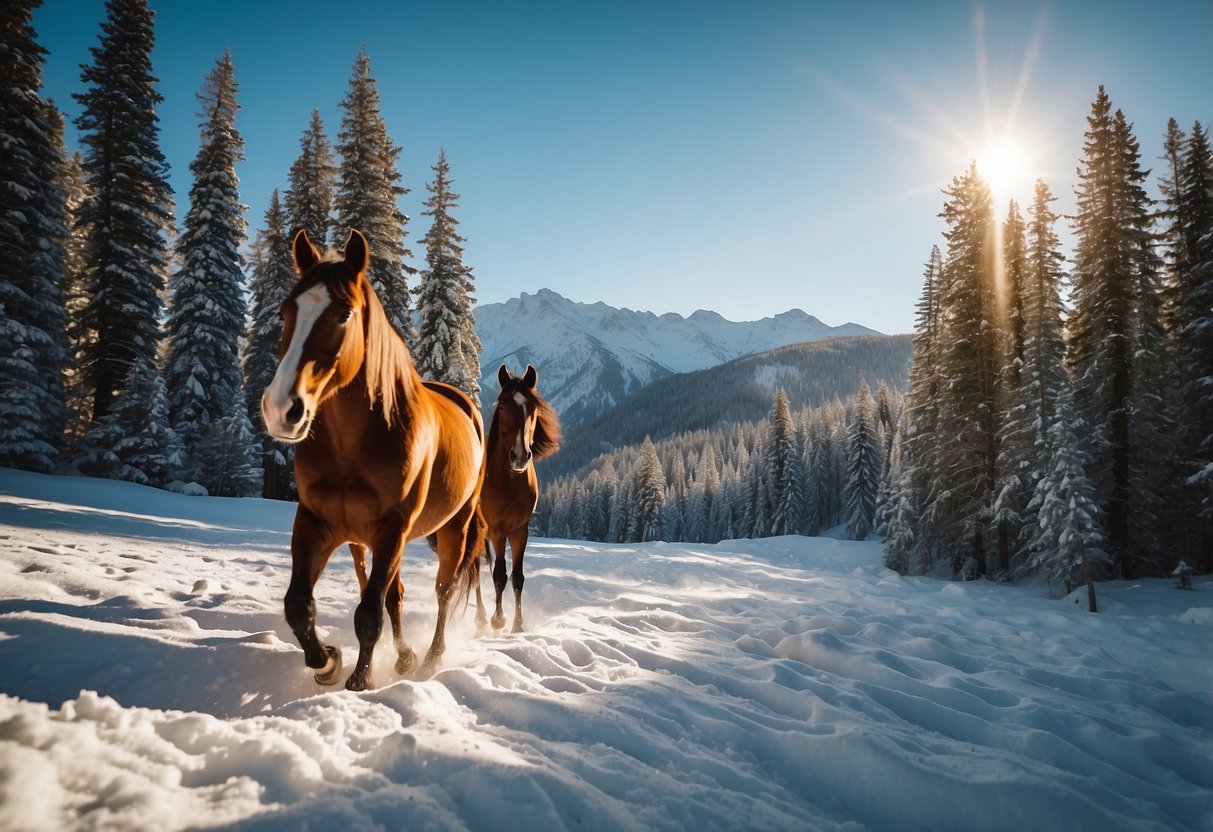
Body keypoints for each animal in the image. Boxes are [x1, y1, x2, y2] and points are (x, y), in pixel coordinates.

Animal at [263, 226, 485, 688]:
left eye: (344, 315)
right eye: (284, 311)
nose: (280, 408)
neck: (354, 447)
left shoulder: (391, 529)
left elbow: (368, 615)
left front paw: (360, 680)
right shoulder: (317, 521)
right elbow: (299, 605)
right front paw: (327, 661)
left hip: (454, 527)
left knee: (443, 590)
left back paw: (432, 657)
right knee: (394, 597)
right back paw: (403, 657)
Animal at [480, 363, 560, 630]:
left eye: (532, 408)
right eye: (502, 406)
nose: (520, 456)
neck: (509, 482)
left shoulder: (519, 531)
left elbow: (517, 577)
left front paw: (518, 625)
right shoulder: (497, 530)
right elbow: (498, 575)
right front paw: (498, 620)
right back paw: (480, 617)